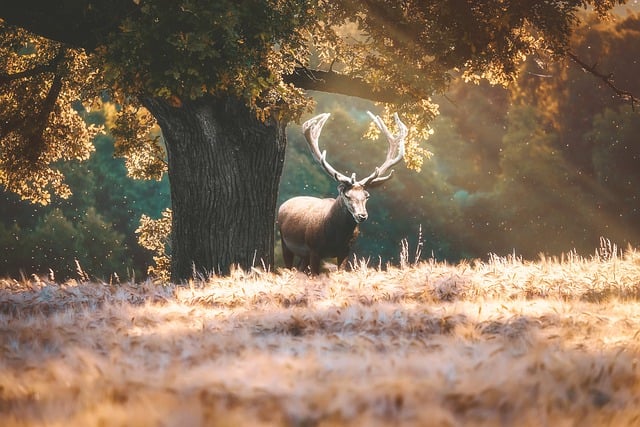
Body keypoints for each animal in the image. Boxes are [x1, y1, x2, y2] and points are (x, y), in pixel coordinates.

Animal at [277, 111, 407, 275]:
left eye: (367, 196)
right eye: (347, 195)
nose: (362, 215)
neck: (335, 238)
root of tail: (283, 204)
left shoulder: (345, 251)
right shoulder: (314, 250)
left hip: (303, 254)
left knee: (300, 269)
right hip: (285, 242)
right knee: (288, 265)